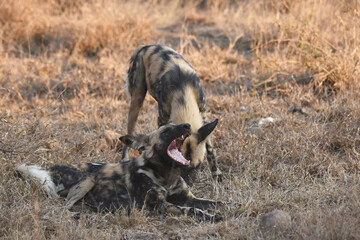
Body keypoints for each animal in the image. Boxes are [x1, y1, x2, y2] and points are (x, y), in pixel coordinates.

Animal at [17, 123, 236, 222]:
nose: (187, 125)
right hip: (88, 180)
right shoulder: (160, 206)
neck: (166, 175)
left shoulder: (188, 198)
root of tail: (51, 169)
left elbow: (217, 203)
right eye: (166, 131)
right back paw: (82, 214)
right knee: (62, 206)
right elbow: (192, 210)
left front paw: (235, 206)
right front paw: (214, 217)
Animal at [125, 44, 224, 183]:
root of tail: (145, 47)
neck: (183, 95)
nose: (188, 184)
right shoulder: (162, 120)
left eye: (197, 166)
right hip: (136, 102)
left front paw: (216, 173)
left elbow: (210, 150)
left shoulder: (203, 119)